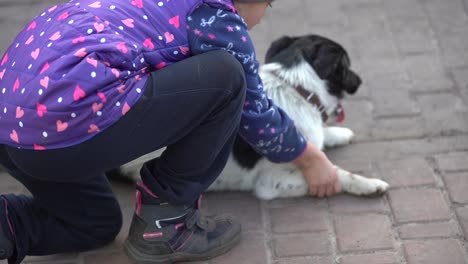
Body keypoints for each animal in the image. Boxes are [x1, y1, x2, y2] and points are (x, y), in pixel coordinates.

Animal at [111, 35, 390, 200]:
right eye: (347, 66)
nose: (360, 80)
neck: (293, 87)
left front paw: (339, 134)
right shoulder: (271, 183)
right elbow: (338, 173)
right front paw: (368, 184)